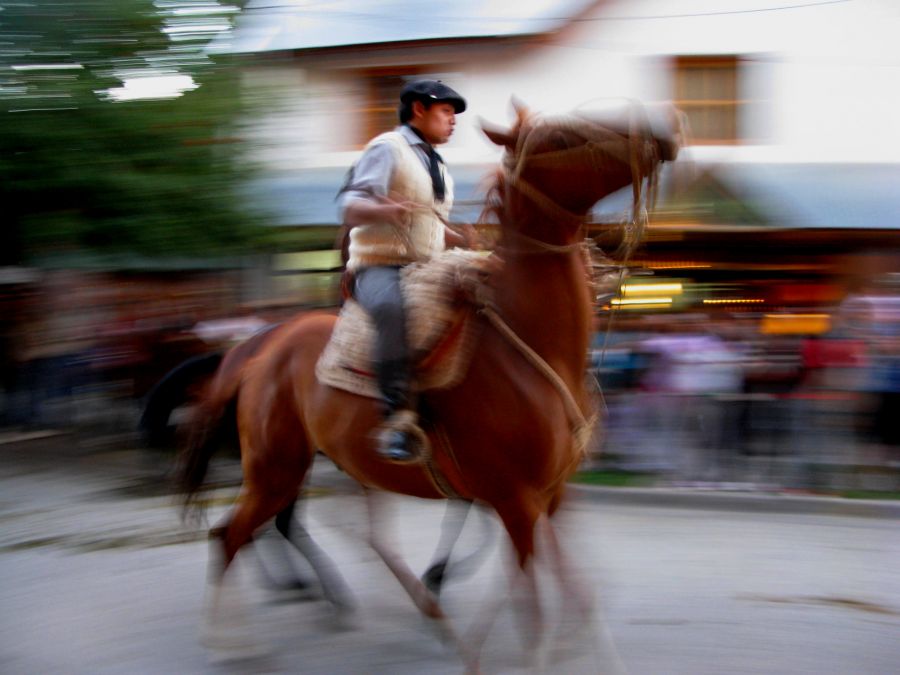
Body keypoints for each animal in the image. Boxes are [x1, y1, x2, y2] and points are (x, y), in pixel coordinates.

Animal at [185, 97, 684, 668]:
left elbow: (572, 587)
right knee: (231, 535)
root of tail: (256, 351)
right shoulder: (516, 499)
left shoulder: (550, 495)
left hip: (329, 466)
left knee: (335, 534)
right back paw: (230, 640)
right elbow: (536, 606)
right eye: (561, 137)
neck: (529, 343)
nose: (664, 124)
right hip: (276, 470)